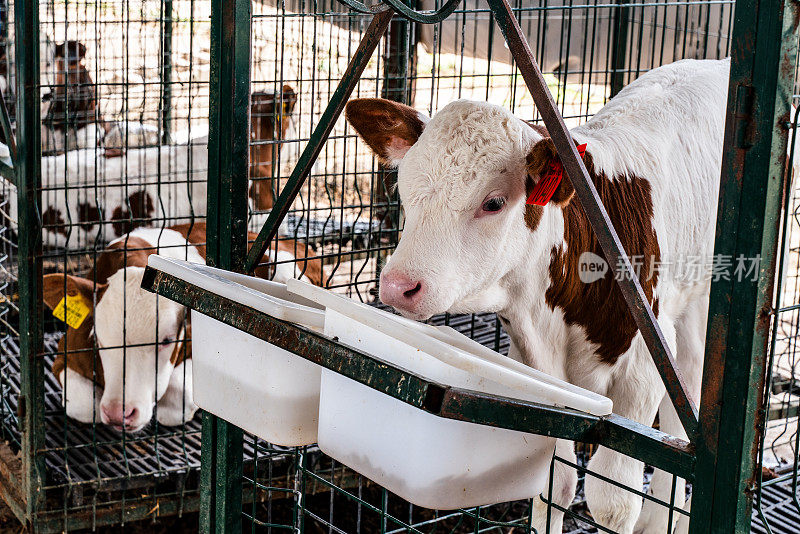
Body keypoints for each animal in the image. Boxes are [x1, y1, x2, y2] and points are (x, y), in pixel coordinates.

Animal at [42, 223, 324, 436]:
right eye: (99, 340)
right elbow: (81, 404)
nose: (118, 412)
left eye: (166, 340)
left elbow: (176, 400)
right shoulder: (65, 351)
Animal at [344, 56, 732, 532]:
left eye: (493, 202)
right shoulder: (535, 372)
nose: (399, 285)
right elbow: (553, 485)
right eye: (405, 188)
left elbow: (614, 501)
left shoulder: (642, 368)